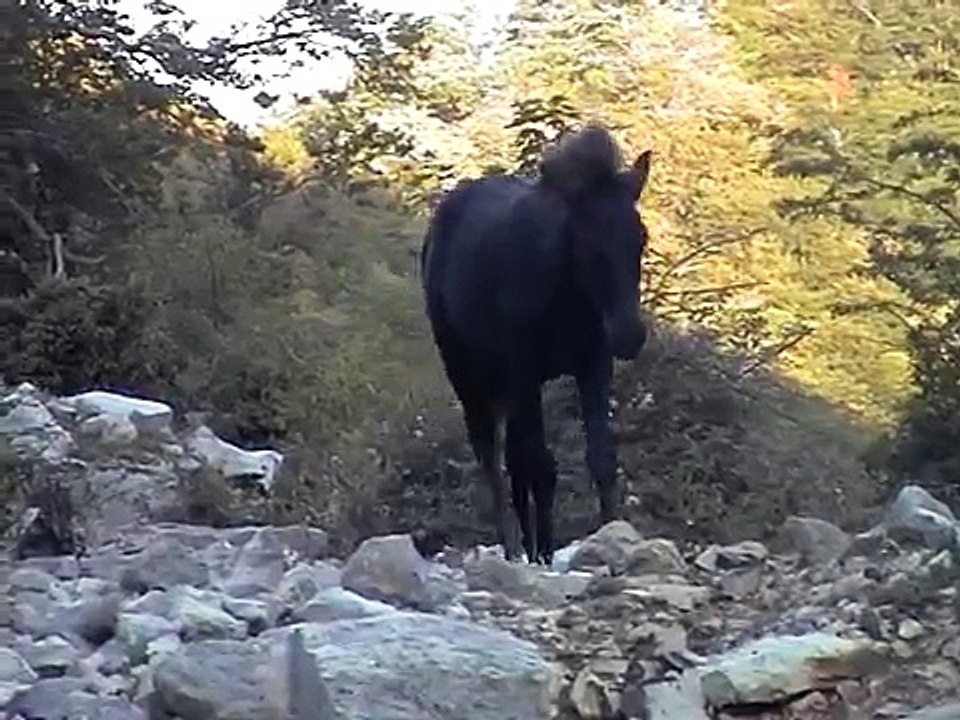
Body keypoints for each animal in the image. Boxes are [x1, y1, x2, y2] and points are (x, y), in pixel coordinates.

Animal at [420, 124, 652, 565]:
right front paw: (543, 554)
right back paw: (514, 548)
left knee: (514, 457)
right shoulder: (524, 370)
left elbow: (600, 458)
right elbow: (544, 465)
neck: (568, 297)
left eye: (640, 238)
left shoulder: (593, 365)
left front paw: (612, 535)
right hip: (466, 371)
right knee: (491, 454)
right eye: (587, 242)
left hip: (505, 385)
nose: (630, 334)